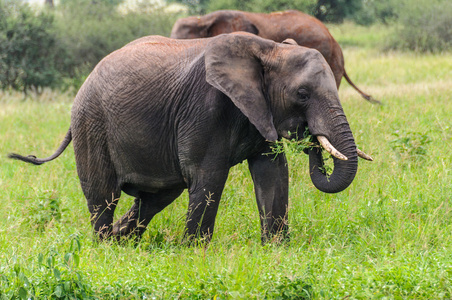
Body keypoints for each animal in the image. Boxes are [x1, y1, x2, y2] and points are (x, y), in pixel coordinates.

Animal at [8, 32, 372, 244]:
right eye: (302, 94)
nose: (312, 139)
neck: (269, 49)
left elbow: (272, 173)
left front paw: (276, 249)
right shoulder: (206, 108)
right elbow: (208, 177)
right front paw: (196, 252)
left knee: (154, 199)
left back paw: (124, 241)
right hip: (91, 124)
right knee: (104, 195)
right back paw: (106, 247)